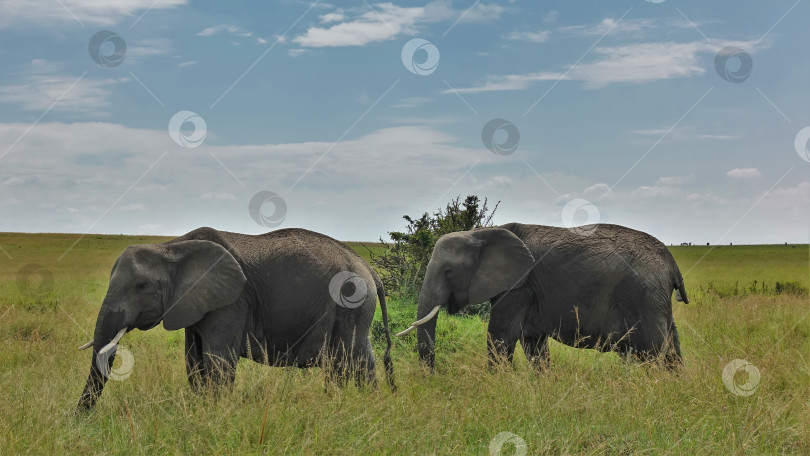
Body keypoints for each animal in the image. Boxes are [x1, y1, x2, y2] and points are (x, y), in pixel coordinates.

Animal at [76, 226, 394, 412]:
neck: (171, 247)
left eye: (141, 286)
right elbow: (193, 361)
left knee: (345, 360)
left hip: (350, 304)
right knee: (360, 359)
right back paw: (368, 404)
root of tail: (368, 268)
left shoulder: (231, 301)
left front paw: (215, 415)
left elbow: (218, 359)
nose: (79, 419)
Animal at [398, 224, 688, 370]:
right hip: (657, 300)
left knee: (649, 353)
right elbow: (532, 342)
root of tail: (672, 264)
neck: (480, 232)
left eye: (449, 271)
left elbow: (501, 335)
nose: (431, 376)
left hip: (643, 297)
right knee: (671, 348)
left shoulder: (519, 285)